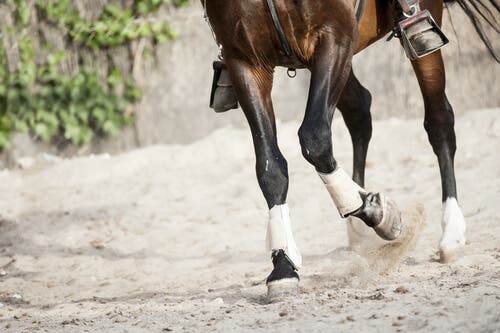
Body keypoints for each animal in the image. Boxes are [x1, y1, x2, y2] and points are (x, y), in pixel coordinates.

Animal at [202, 0, 496, 298]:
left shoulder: (335, 36)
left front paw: (380, 213)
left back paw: (452, 232)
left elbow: (314, 139)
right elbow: (270, 166)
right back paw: (358, 228)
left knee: (439, 121)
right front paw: (283, 265)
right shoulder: (244, 60)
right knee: (359, 108)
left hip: (419, 28)